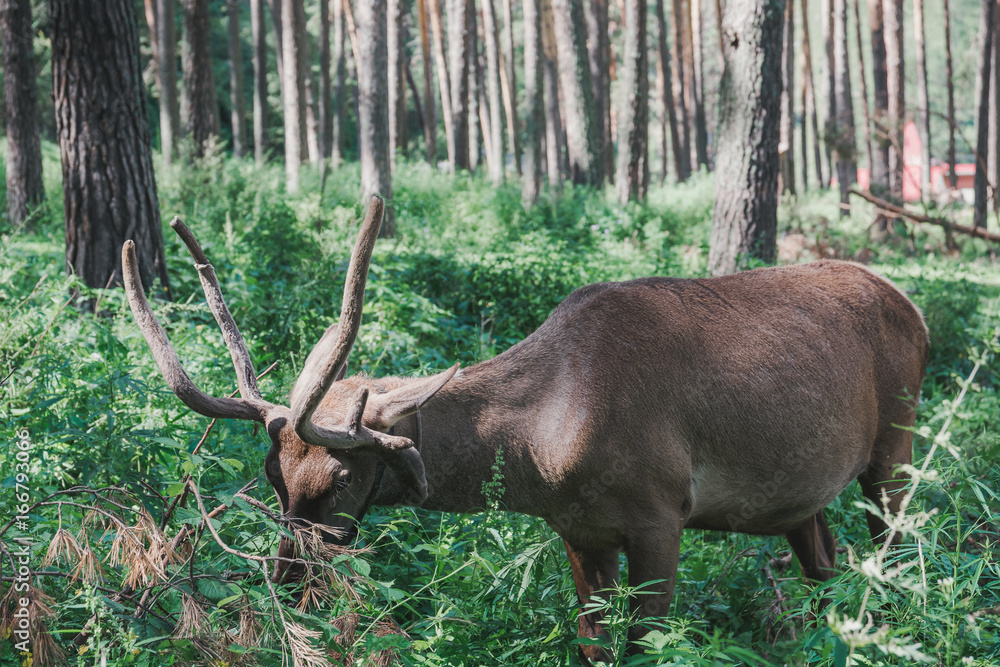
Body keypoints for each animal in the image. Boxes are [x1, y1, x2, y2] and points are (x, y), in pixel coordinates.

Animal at [122, 195, 929, 662]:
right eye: (272, 473)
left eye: (344, 474)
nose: (288, 580)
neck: (546, 447)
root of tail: (913, 306)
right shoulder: (579, 529)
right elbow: (592, 644)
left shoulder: (662, 512)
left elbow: (646, 645)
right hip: (798, 496)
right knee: (826, 565)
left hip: (895, 445)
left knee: (890, 554)